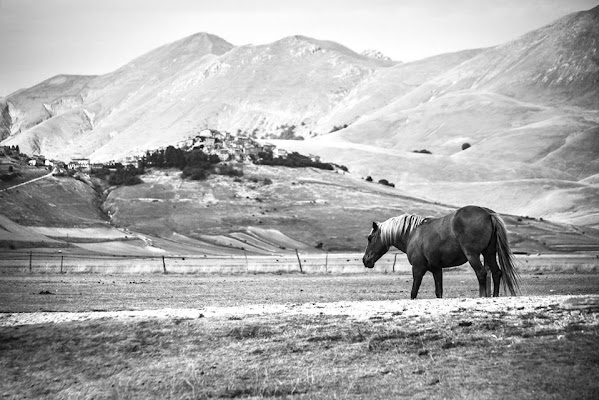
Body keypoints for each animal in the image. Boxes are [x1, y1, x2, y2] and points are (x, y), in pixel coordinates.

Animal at [364, 208, 524, 298]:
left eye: (370, 238)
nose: (365, 260)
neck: (412, 233)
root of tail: (487, 213)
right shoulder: (436, 269)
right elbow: (439, 292)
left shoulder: (418, 269)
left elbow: (413, 293)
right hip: (489, 254)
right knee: (496, 273)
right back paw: (494, 297)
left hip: (473, 256)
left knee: (482, 274)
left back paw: (483, 296)